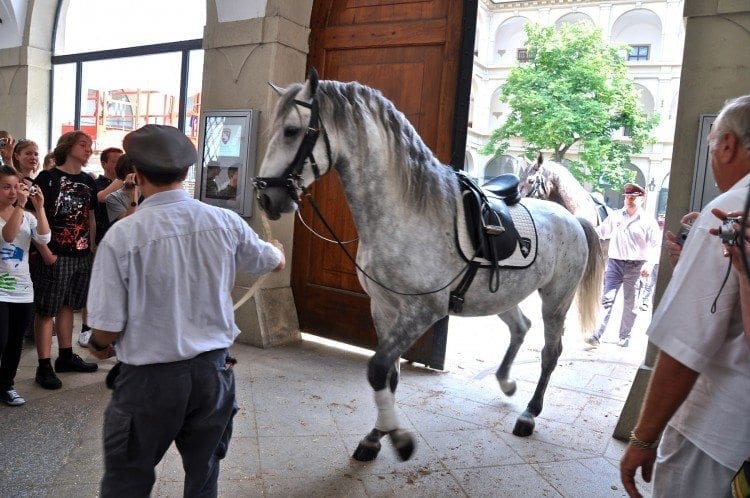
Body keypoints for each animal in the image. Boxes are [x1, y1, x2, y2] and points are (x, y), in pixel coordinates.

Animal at [256, 70, 608, 462]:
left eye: (291, 130)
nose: (265, 196)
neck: (408, 210)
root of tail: (572, 218)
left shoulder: (423, 311)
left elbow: (378, 367)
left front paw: (398, 439)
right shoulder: (384, 308)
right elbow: (389, 373)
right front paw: (376, 436)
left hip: (557, 300)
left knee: (550, 352)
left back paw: (530, 414)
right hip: (502, 296)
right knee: (520, 327)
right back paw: (505, 382)